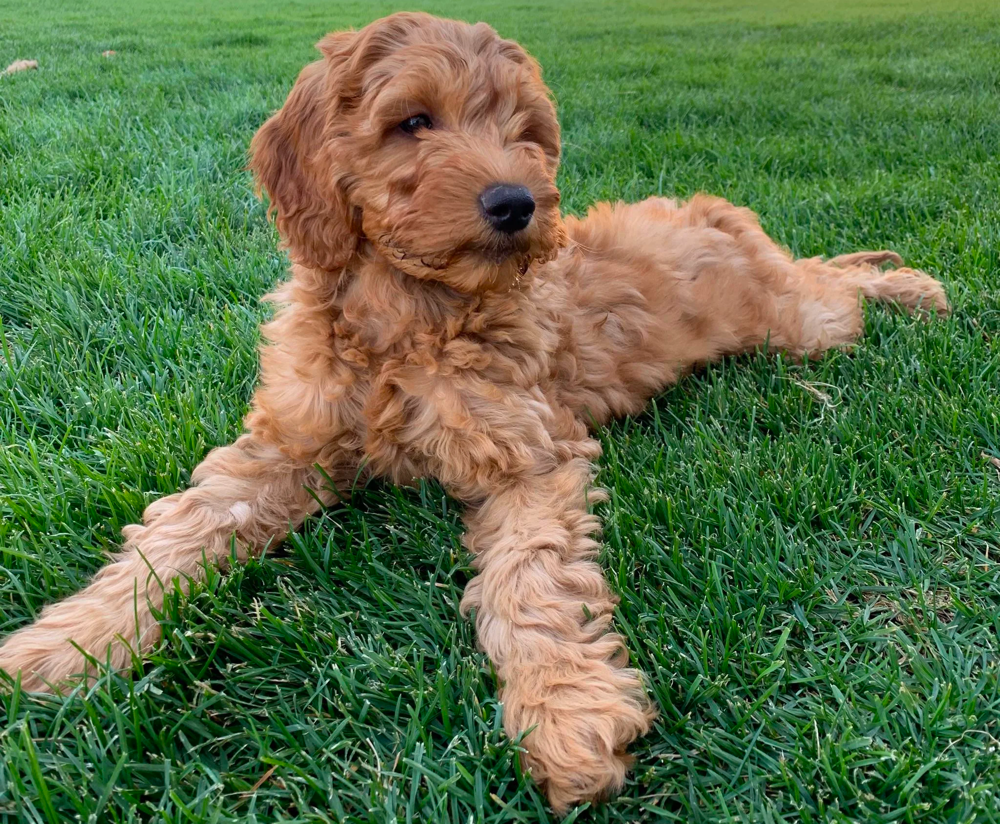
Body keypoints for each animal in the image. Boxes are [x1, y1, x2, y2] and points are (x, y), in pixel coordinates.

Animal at [0, 11, 948, 812]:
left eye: (525, 134)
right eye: (414, 121)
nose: (517, 204)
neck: (408, 315)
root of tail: (708, 212)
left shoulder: (532, 451)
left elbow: (532, 585)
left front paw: (567, 715)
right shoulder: (284, 445)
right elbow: (179, 533)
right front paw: (62, 647)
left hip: (799, 328)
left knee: (831, 281)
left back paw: (915, 287)